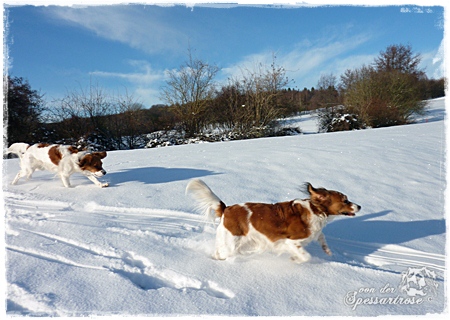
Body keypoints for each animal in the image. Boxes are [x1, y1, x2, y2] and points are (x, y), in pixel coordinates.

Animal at [185, 179, 358, 264]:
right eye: (345, 200)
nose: (360, 206)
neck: (316, 210)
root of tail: (226, 209)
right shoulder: (291, 241)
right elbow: (306, 256)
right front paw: (295, 259)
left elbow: (322, 237)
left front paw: (327, 251)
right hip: (232, 243)